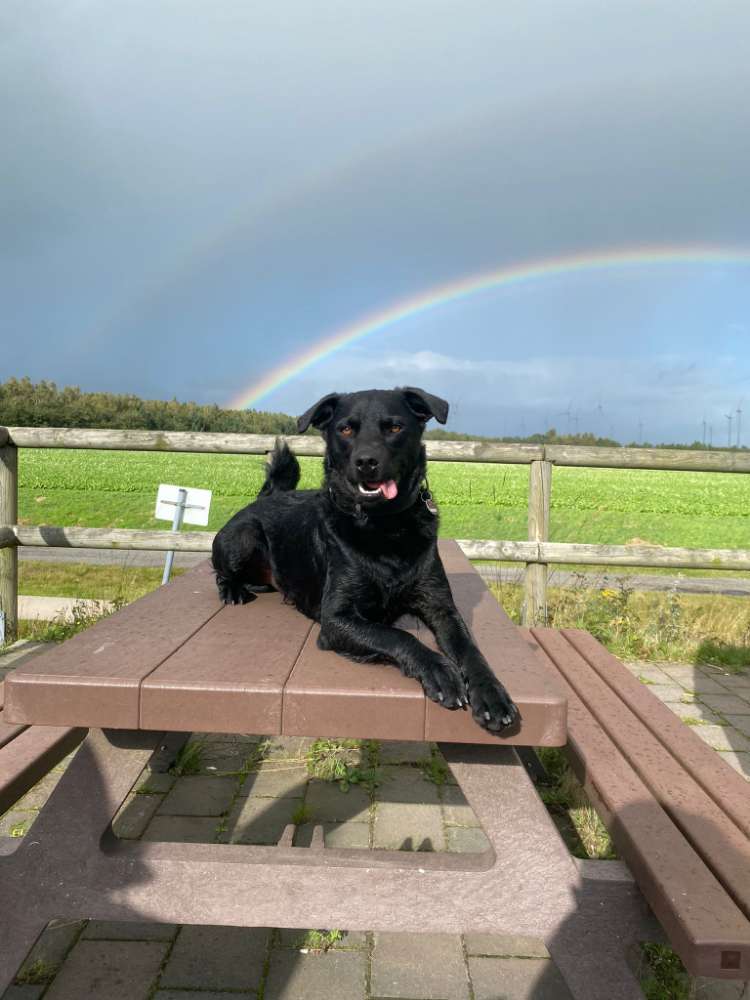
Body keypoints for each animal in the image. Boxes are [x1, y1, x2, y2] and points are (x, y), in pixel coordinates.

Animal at [209, 386, 520, 732]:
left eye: (395, 427)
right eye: (345, 429)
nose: (366, 462)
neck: (385, 526)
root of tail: (266, 498)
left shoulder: (442, 608)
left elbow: (470, 651)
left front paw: (491, 694)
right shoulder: (336, 619)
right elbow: (398, 635)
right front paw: (440, 670)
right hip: (243, 537)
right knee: (220, 570)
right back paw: (233, 590)